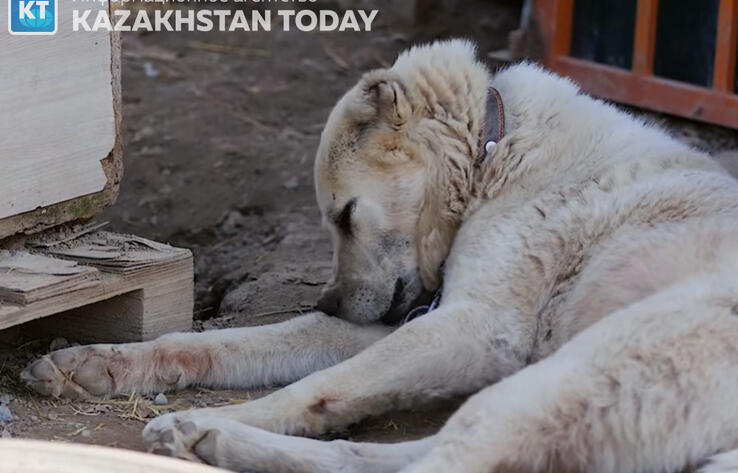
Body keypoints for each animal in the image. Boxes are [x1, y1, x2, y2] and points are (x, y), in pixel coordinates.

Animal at [20, 40, 736, 472]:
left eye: (343, 215)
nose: (331, 302)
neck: (495, 152)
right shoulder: (418, 316)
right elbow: (231, 344)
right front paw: (99, 364)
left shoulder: (477, 330)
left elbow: (316, 386)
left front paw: (221, 412)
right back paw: (215, 438)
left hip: (589, 364)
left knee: (443, 463)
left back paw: (205, 428)